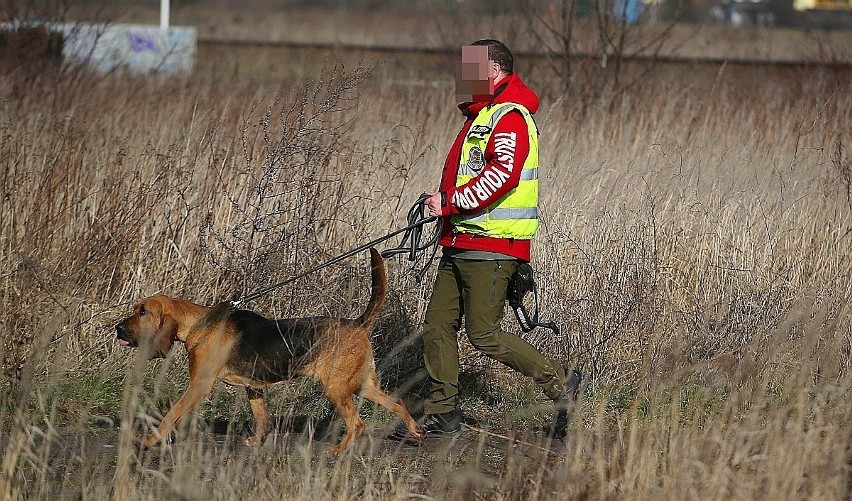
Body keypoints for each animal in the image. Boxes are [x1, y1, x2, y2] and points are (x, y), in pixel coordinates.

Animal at [115, 248, 422, 452]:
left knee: (358, 423)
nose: (117, 328)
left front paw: (150, 440)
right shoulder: (253, 388)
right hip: (361, 384)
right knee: (397, 402)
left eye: (142, 312)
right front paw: (258, 441)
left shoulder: (199, 385)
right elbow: (262, 418)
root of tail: (357, 324)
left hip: (337, 388)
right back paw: (415, 432)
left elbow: (170, 415)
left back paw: (338, 451)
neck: (199, 324)